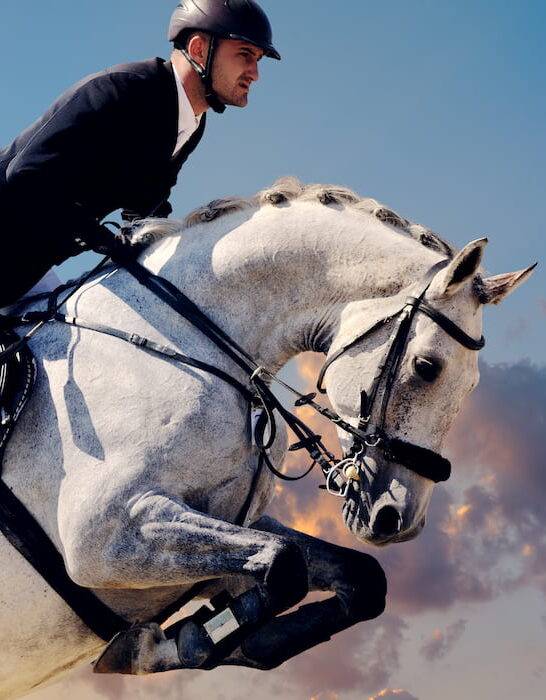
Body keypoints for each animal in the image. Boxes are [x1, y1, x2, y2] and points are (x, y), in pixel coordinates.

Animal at [0, 178, 528, 696]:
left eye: (472, 386)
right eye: (426, 366)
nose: (399, 521)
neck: (180, 336)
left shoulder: (230, 523)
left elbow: (356, 578)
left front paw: (180, 643)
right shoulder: (104, 538)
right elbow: (284, 563)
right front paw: (177, 642)